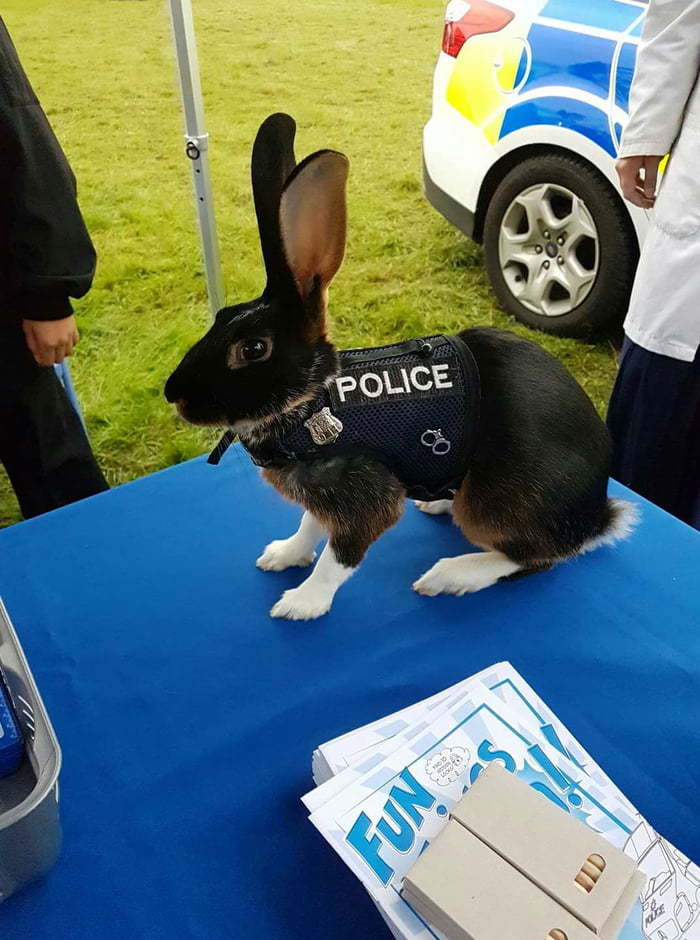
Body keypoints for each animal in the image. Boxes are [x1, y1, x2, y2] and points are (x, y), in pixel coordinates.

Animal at [165, 114, 640, 620]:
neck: (314, 402)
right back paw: (437, 509)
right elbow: (310, 525)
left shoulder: (364, 496)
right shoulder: (323, 498)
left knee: (535, 557)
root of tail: (596, 515)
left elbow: (339, 556)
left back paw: (450, 576)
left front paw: (301, 603)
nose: (174, 394)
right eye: (219, 317)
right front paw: (282, 554)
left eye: (253, 349)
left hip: (498, 504)